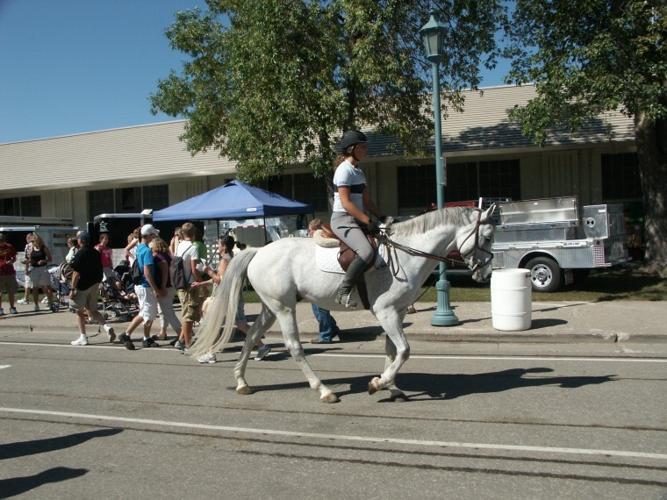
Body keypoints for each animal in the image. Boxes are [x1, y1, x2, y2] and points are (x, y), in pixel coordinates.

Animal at [192, 205, 496, 403]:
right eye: (488, 236)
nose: (485, 274)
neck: (406, 254)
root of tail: (258, 251)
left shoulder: (395, 313)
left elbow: (391, 351)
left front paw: (392, 387)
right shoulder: (386, 313)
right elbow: (404, 351)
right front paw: (379, 383)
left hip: (271, 307)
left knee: (252, 336)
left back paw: (242, 382)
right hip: (284, 309)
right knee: (294, 347)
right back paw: (324, 390)